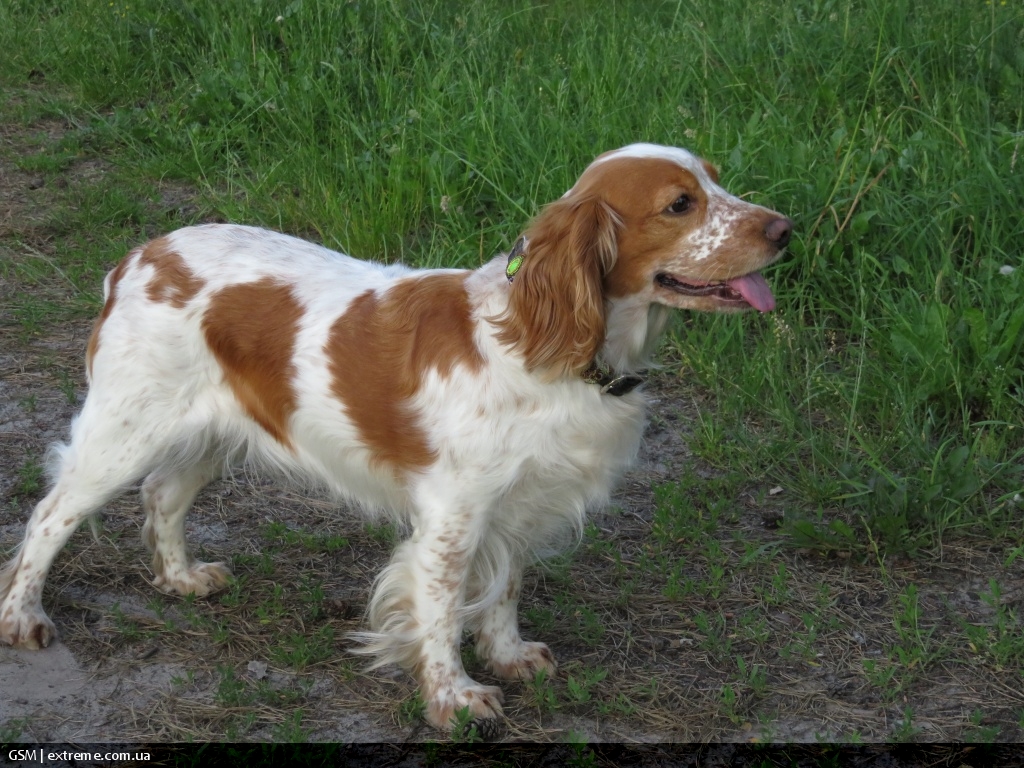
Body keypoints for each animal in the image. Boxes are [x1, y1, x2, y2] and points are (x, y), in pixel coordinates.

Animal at [0, 144, 790, 733]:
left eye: (717, 180)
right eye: (680, 204)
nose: (785, 228)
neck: (551, 344)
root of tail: (138, 256)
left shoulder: (519, 503)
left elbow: (502, 590)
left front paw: (507, 655)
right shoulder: (453, 515)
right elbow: (440, 610)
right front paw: (454, 698)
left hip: (211, 432)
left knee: (164, 495)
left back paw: (181, 577)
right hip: (122, 432)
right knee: (49, 515)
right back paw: (23, 617)